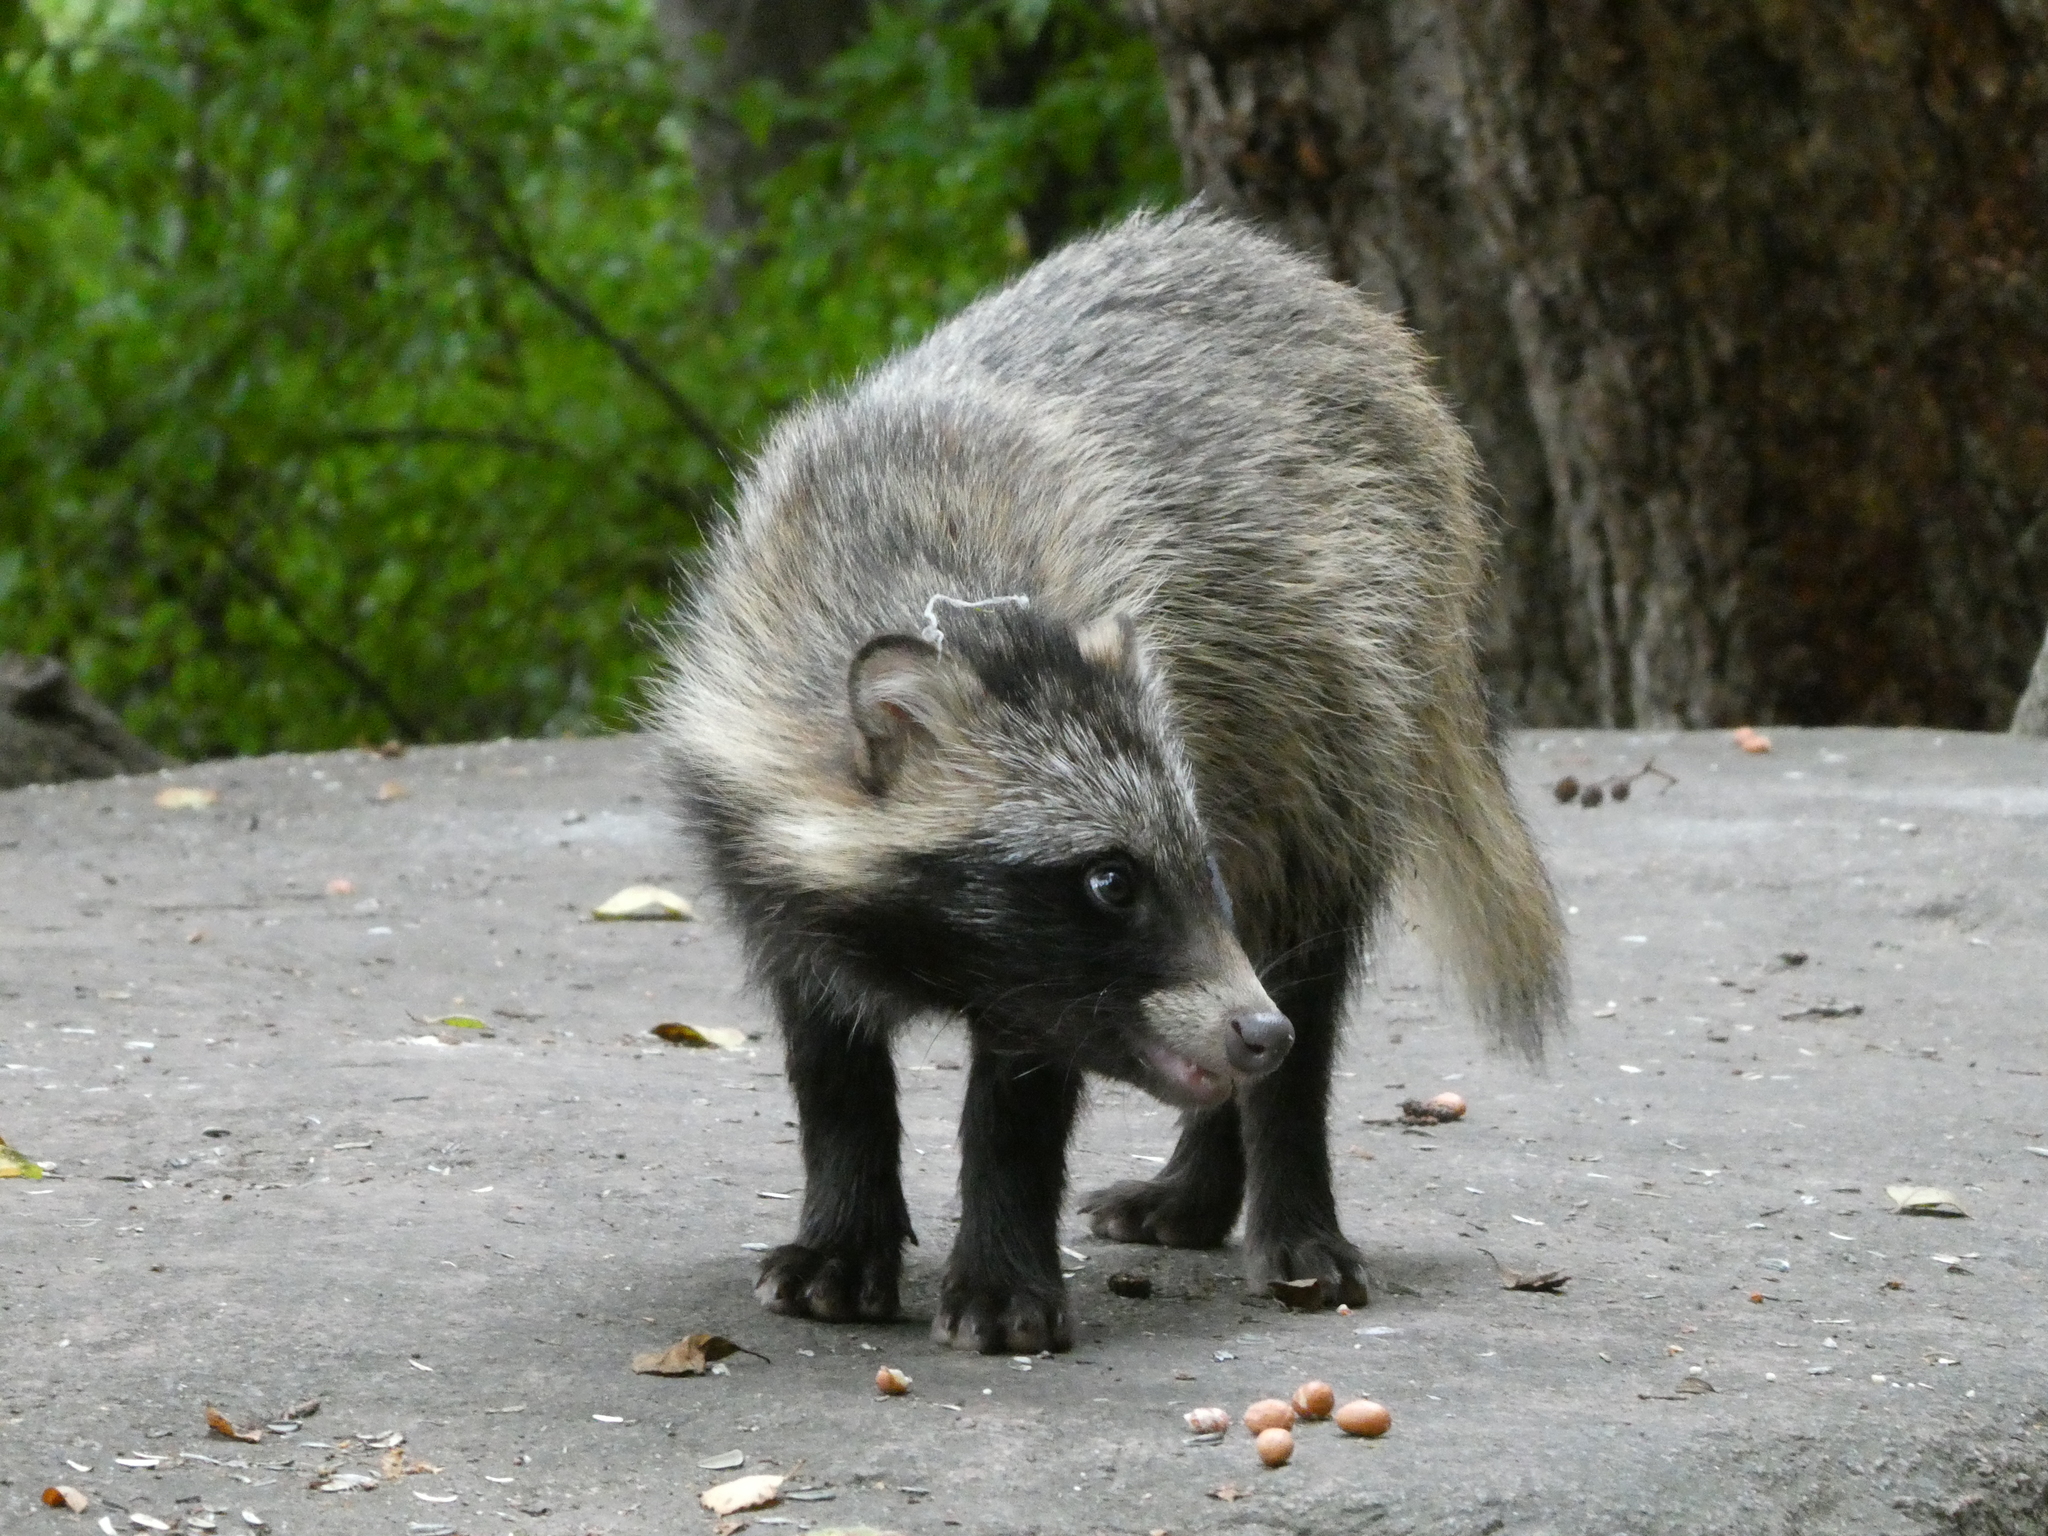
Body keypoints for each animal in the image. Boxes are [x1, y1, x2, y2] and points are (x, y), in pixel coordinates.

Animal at [659, 207, 1564, 1359]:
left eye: (1173, 870)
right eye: (1109, 879)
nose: (1255, 1033)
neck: (952, 598)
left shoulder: (1074, 948)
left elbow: (1025, 1088)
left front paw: (1001, 1269)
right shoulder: (765, 822)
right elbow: (829, 1054)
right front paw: (844, 1232)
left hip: (1340, 698)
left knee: (1303, 948)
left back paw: (1285, 1194)